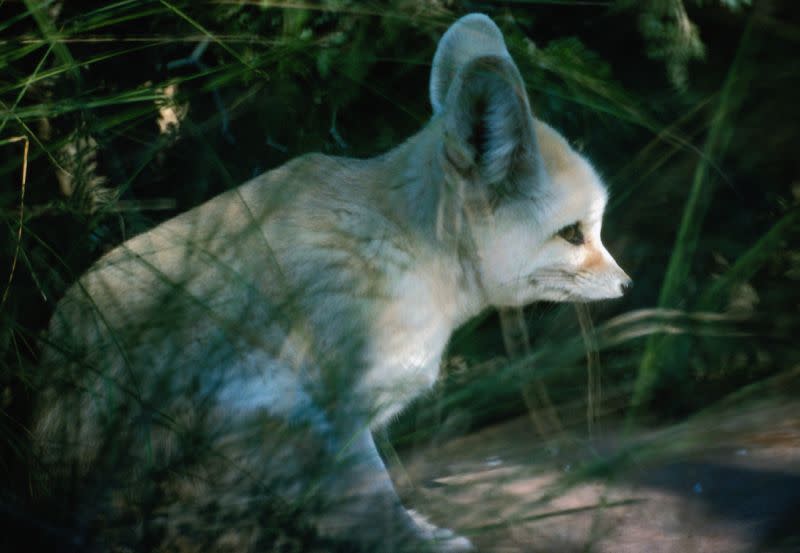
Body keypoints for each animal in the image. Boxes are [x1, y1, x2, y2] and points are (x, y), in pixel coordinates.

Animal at [32, 11, 632, 552]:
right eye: (573, 234)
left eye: (595, 230)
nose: (628, 285)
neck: (405, 242)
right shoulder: (340, 418)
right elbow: (378, 502)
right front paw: (416, 543)